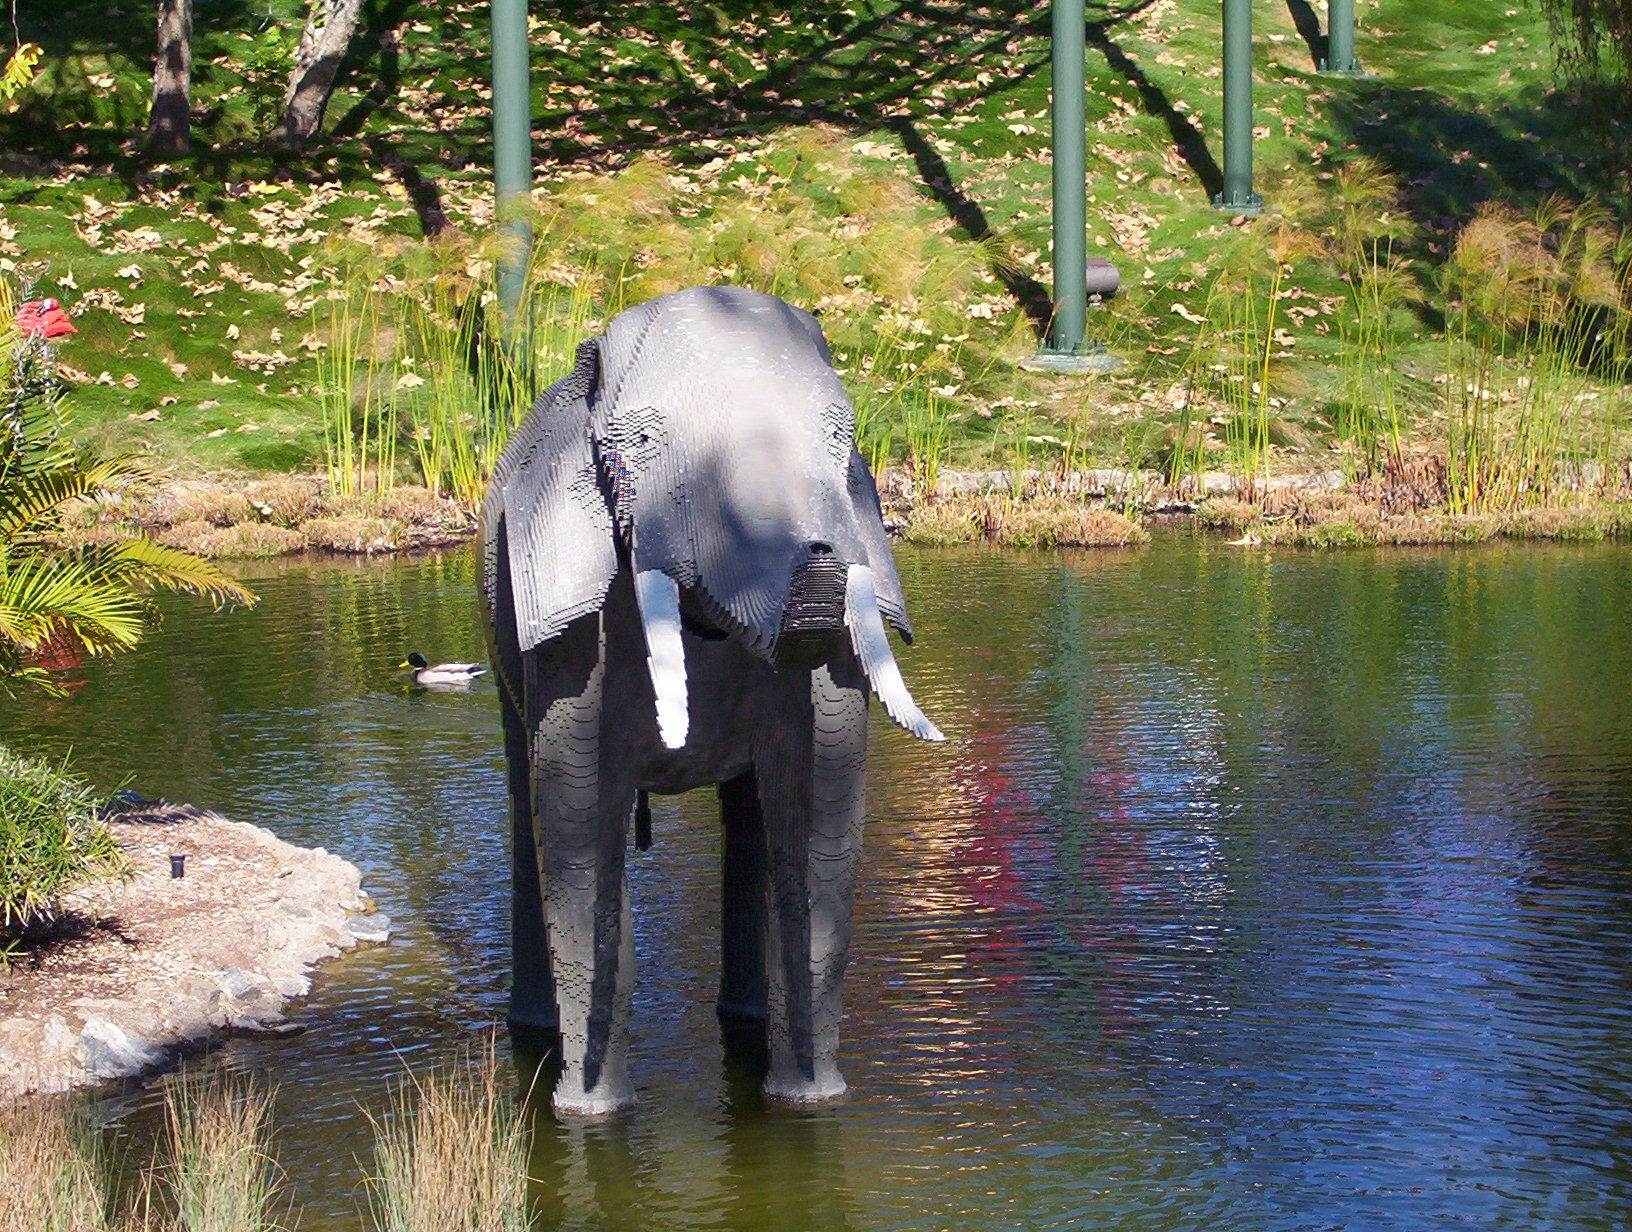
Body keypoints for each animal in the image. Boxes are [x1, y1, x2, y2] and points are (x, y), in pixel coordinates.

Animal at [480, 285, 942, 1116]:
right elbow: (580, 825)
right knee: (527, 809)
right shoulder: (566, 611)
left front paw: (811, 1104)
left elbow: (818, 825)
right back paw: (533, 1036)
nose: (819, 555)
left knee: (751, 813)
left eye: (842, 437)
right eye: (641, 442)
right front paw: (591, 1117)